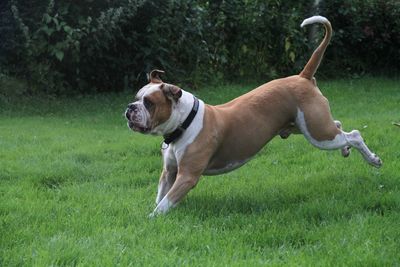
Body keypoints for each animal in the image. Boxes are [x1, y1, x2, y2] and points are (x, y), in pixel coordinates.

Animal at [125, 16, 382, 218]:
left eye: (149, 103)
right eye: (136, 97)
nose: (130, 108)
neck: (185, 122)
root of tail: (303, 77)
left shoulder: (187, 176)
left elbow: (164, 204)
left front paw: (150, 219)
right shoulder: (169, 173)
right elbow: (161, 196)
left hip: (318, 134)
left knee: (354, 135)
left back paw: (372, 159)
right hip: (306, 126)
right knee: (339, 126)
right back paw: (346, 150)